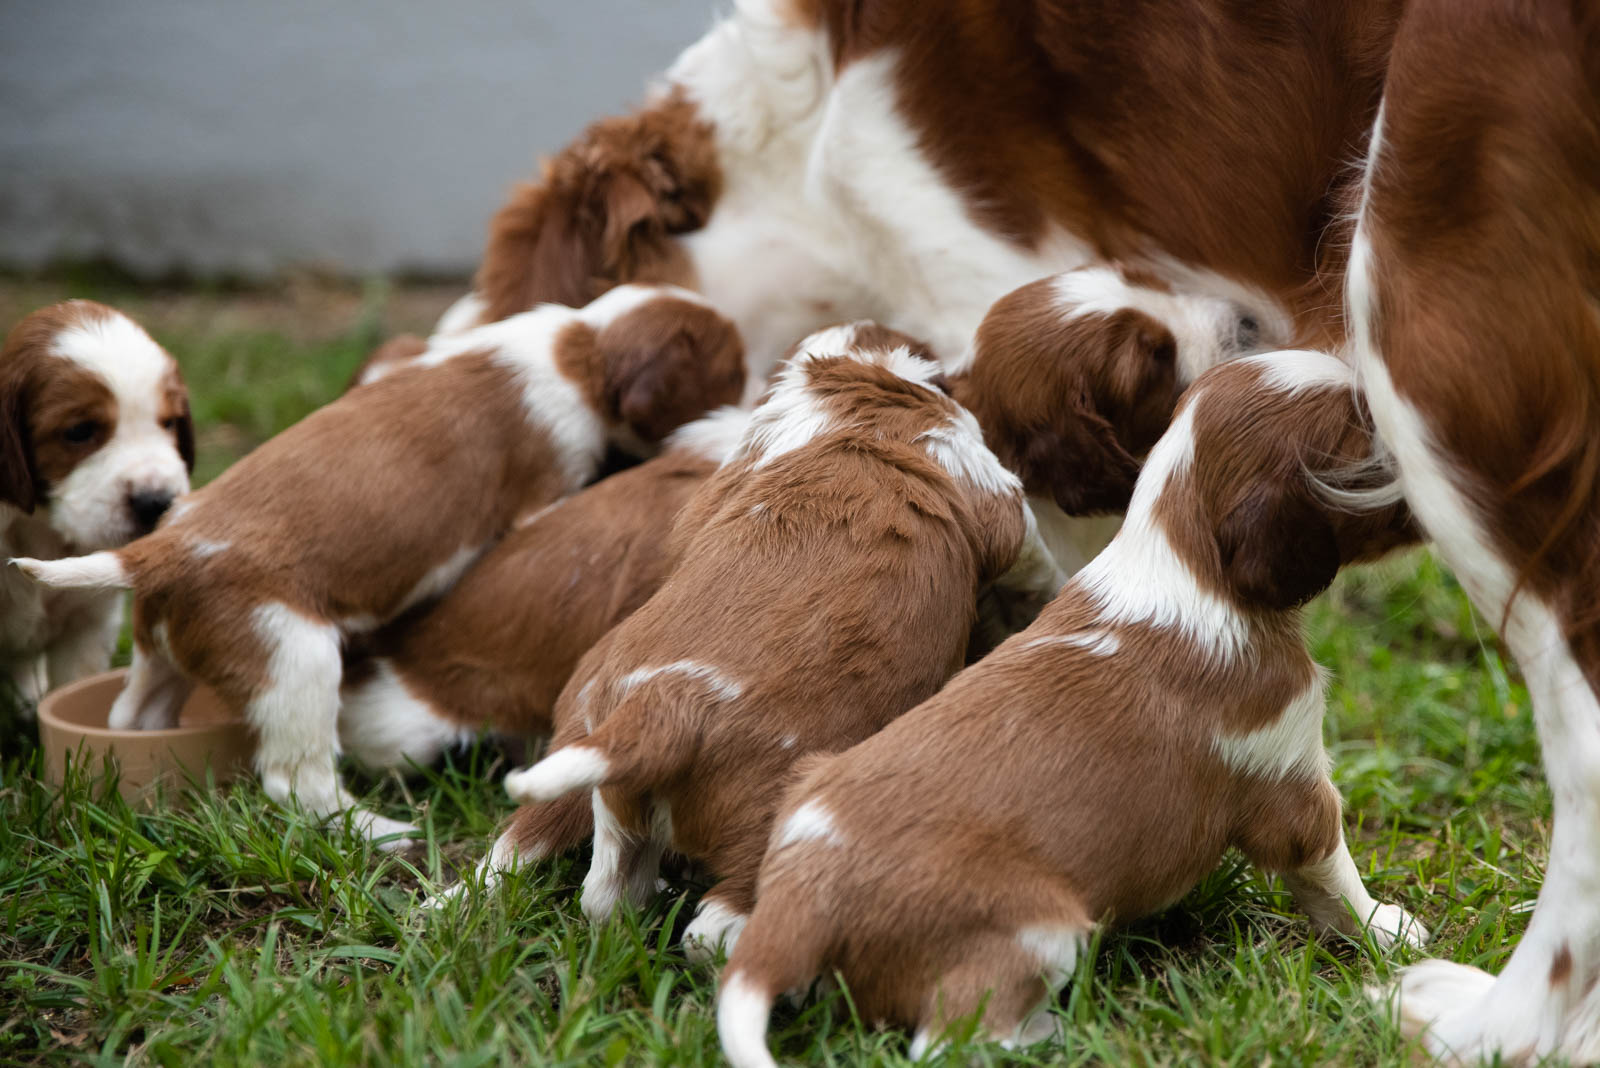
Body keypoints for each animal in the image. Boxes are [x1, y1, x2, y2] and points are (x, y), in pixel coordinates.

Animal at [720, 351, 1433, 1068]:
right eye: (1365, 432)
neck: (1183, 561)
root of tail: (796, 902)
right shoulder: (1289, 783)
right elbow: (1333, 873)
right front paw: (1389, 930)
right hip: (1039, 931)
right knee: (947, 1038)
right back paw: (1054, 1031)